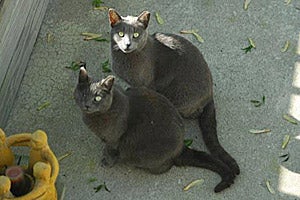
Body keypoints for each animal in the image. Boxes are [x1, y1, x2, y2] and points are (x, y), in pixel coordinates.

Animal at [74, 64, 236, 192]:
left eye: (97, 98)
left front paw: (107, 161)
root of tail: (181, 147)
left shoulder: (114, 138)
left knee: (168, 166)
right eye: (83, 95)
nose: (87, 105)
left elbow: (110, 149)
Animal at [109, 8, 240, 177]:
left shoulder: (145, 84)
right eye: (121, 34)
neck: (125, 60)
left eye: (136, 34)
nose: (127, 44)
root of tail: (210, 95)